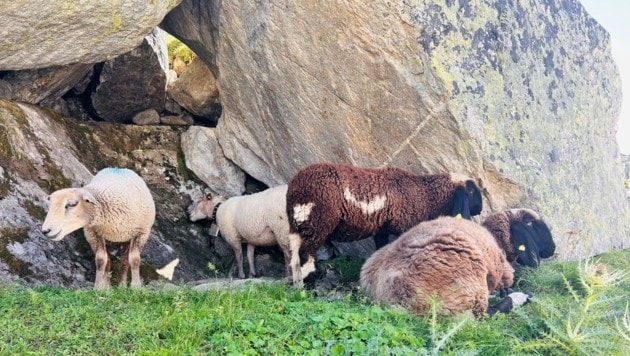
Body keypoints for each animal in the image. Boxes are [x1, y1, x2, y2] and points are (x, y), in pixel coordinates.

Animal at [286, 163, 484, 284]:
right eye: (472, 192)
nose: (481, 209)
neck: (426, 194)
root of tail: (297, 188)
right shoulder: (405, 225)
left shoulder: (381, 230)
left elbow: (380, 248)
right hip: (316, 224)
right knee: (305, 258)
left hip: (298, 226)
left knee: (294, 259)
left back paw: (297, 286)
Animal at [358, 209, 556, 318]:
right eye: (533, 225)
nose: (553, 248)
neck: (498, 241)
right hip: (467, 286)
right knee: (484, 315)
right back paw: (520, 296)